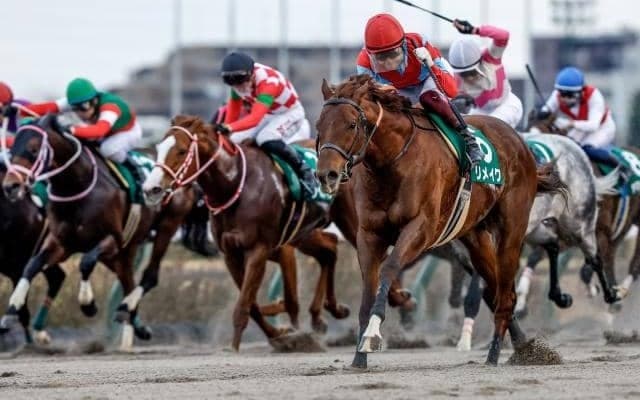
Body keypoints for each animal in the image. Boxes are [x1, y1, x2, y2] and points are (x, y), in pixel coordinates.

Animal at [1, 115, 196, 350]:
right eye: (12, 149)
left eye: (33, 148)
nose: (11, 186)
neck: (76, 186)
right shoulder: (59, 243)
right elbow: (32, 266)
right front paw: (11, 311)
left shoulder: (111, 239)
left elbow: (86, 262)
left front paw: (88, 304)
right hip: (123, 252)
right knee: (127, 281)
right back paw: (133, 322)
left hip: (166, 227)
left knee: (149, 276)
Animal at [143, 115, 356, 350]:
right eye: (158, 148)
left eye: (181, 151)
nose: (151, 189)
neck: (236, 184)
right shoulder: (232, 253)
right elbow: (251, 303)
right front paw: (281, 334)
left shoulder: (259, 250)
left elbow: (260, 301)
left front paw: (235, 347)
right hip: (304, 234)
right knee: (329, 249)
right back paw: (327, 312)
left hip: (348, 221)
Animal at [315, 75, 567, 368]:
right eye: (319, 125)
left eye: (351, 124)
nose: (327, 174)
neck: (392, 162)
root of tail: (520, 142)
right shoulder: (368, 234)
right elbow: (369, 285)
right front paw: (359, 356)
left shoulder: (421, 228)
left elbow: (390, 267)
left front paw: (373, 333)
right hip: (475, 237)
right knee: (496, 290)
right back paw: (522, 346)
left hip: (511, 231)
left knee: (505, 292)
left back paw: (495, 353)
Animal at [528, 111, 640, 306]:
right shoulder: (561, 234)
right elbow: (537, 256)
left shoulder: (598, 232)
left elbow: (588, 267)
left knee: (634, 264)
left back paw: (620, 291)